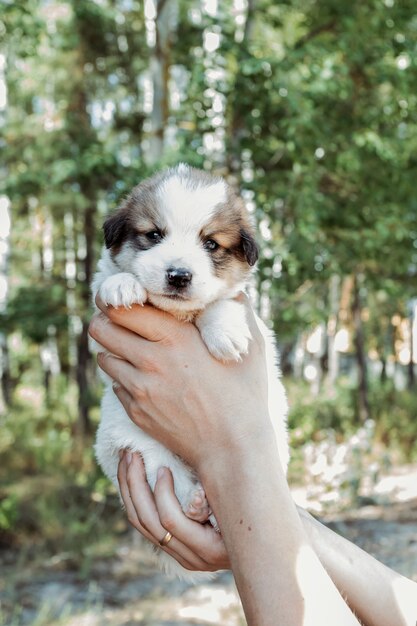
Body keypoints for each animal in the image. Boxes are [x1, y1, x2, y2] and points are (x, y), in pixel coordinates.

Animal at [90, 163, 288, 576]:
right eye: (153, 235)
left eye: (210, 244)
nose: (179, 275)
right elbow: (106, 281)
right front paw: (121, 284)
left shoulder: (246, 307)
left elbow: (223, 300)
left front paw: (225, 332)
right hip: (141, 452)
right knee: (173, 483)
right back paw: (197, 504)